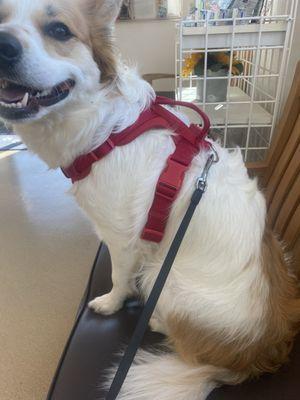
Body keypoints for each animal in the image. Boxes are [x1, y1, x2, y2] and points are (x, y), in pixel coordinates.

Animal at [0, 0, 298, 400]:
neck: (109, 130)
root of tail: (254, 358)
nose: (3, 45)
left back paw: (155, 318)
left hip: (166, 277)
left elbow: (118, 277)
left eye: (60, 30)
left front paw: (111, 303)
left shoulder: (122, 239)